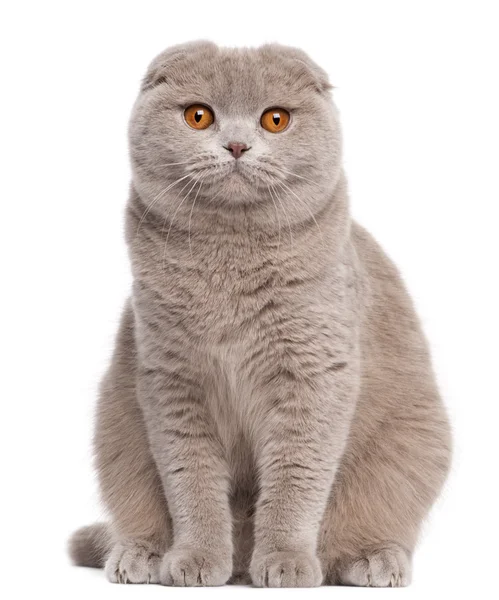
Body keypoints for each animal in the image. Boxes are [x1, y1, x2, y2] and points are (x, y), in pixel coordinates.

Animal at [69, 41, 454, 584]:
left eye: (275, 120)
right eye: (199, 115)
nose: (236, 146)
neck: (231, 260)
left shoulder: (313, 376)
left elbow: (295, 479)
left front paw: (286, 562)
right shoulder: (173, 380)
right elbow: (191, 481)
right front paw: (196, 560)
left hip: (412, 446)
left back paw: (372, 560)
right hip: (116, 427)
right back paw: (141, 555)